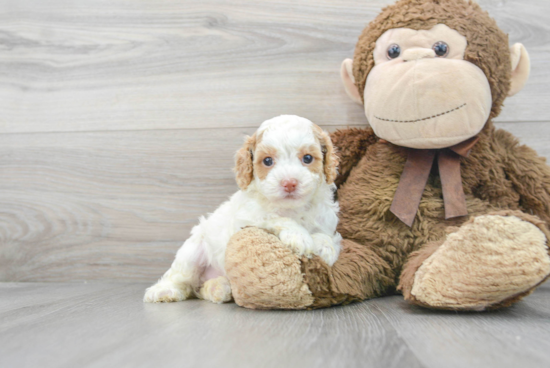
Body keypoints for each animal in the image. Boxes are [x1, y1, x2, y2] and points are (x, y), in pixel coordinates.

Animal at [144, 115, 342, 304]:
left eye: (307, 158)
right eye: (267, 161)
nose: (289, 183)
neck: (292, 208)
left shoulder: (326, 220)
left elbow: (326, 235)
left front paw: (324, 248)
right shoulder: (248, 218)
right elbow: (275, 218)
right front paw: (299, 236)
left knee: (201, 289)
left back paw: (218, 288)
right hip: (192, 251)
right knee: (180, 278)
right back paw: (164, 291)